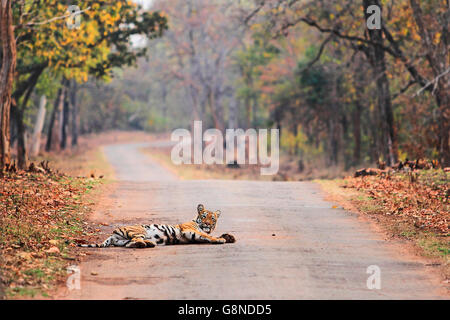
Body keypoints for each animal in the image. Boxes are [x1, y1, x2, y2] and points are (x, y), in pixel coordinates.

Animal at [77, 204, 236, 249]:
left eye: (212, 218)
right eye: (204, 216)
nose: (208, 224)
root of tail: (112, 233)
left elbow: (209, 235)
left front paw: (229, 237)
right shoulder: (189, 231)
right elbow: (206, 235)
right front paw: (220, 239)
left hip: (124, 240)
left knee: (130, 244)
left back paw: (148, 244)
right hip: (139, 230)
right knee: (135, 241)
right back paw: (146, 244)